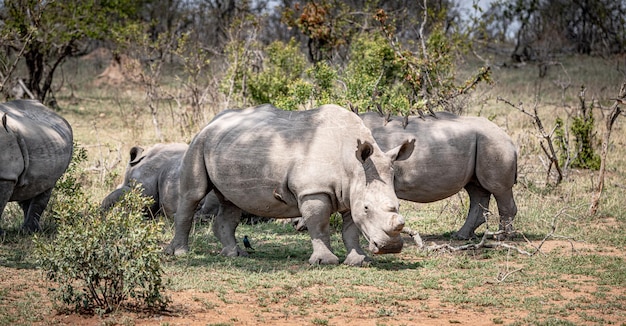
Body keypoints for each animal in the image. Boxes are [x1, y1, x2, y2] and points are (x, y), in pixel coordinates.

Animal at [165, 104, 414, 264]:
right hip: (199, 142)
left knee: (231, 202)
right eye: (367, 208)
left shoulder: (350, 192)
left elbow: (350, 229)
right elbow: (319, 225)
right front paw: (325, 261)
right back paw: (180, 254)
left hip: (226, 145)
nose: (390, 248)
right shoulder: (313, 191)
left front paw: (359, 261)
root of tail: (213, 120)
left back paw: (234, 255)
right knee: (193, 195)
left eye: (398, 206)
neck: (353, 166)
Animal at [358, 112, 516, 239]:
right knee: (476, 189)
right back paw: (461, 236)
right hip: (485, 142)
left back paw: (501, 237)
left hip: (494, 142)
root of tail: (509, 139)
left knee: (499, 190)